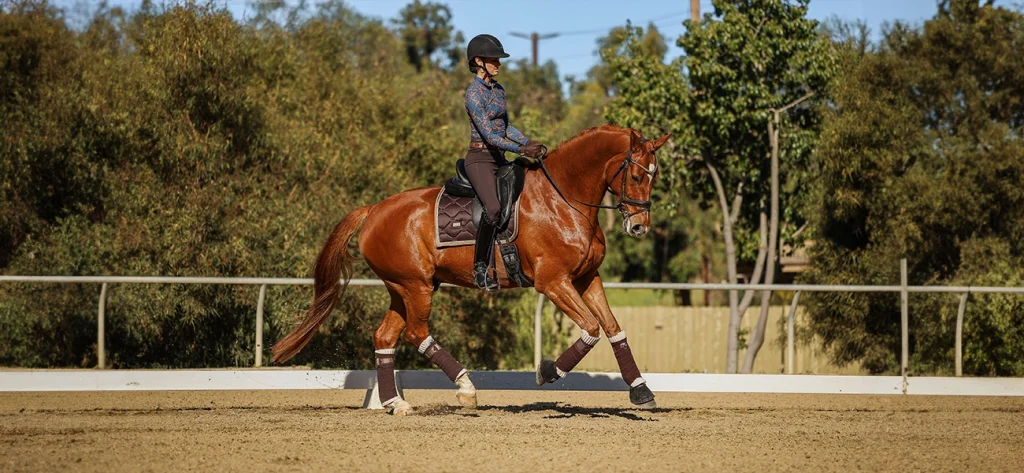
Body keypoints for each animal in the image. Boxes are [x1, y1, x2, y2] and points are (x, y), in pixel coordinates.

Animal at [271, 124, 670, 416]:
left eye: (656, 176)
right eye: (637, 176)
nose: (639, 227)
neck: (563, 199)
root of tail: (373, 210)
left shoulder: (587, 278)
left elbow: (614, 329)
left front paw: (641, 392)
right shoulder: (553, 282)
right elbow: (591, 329)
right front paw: (547, 372)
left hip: (402, 288)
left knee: (385, 337)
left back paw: (396, 403)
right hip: (415, 286)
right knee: (416, 333)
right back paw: (466, 388)